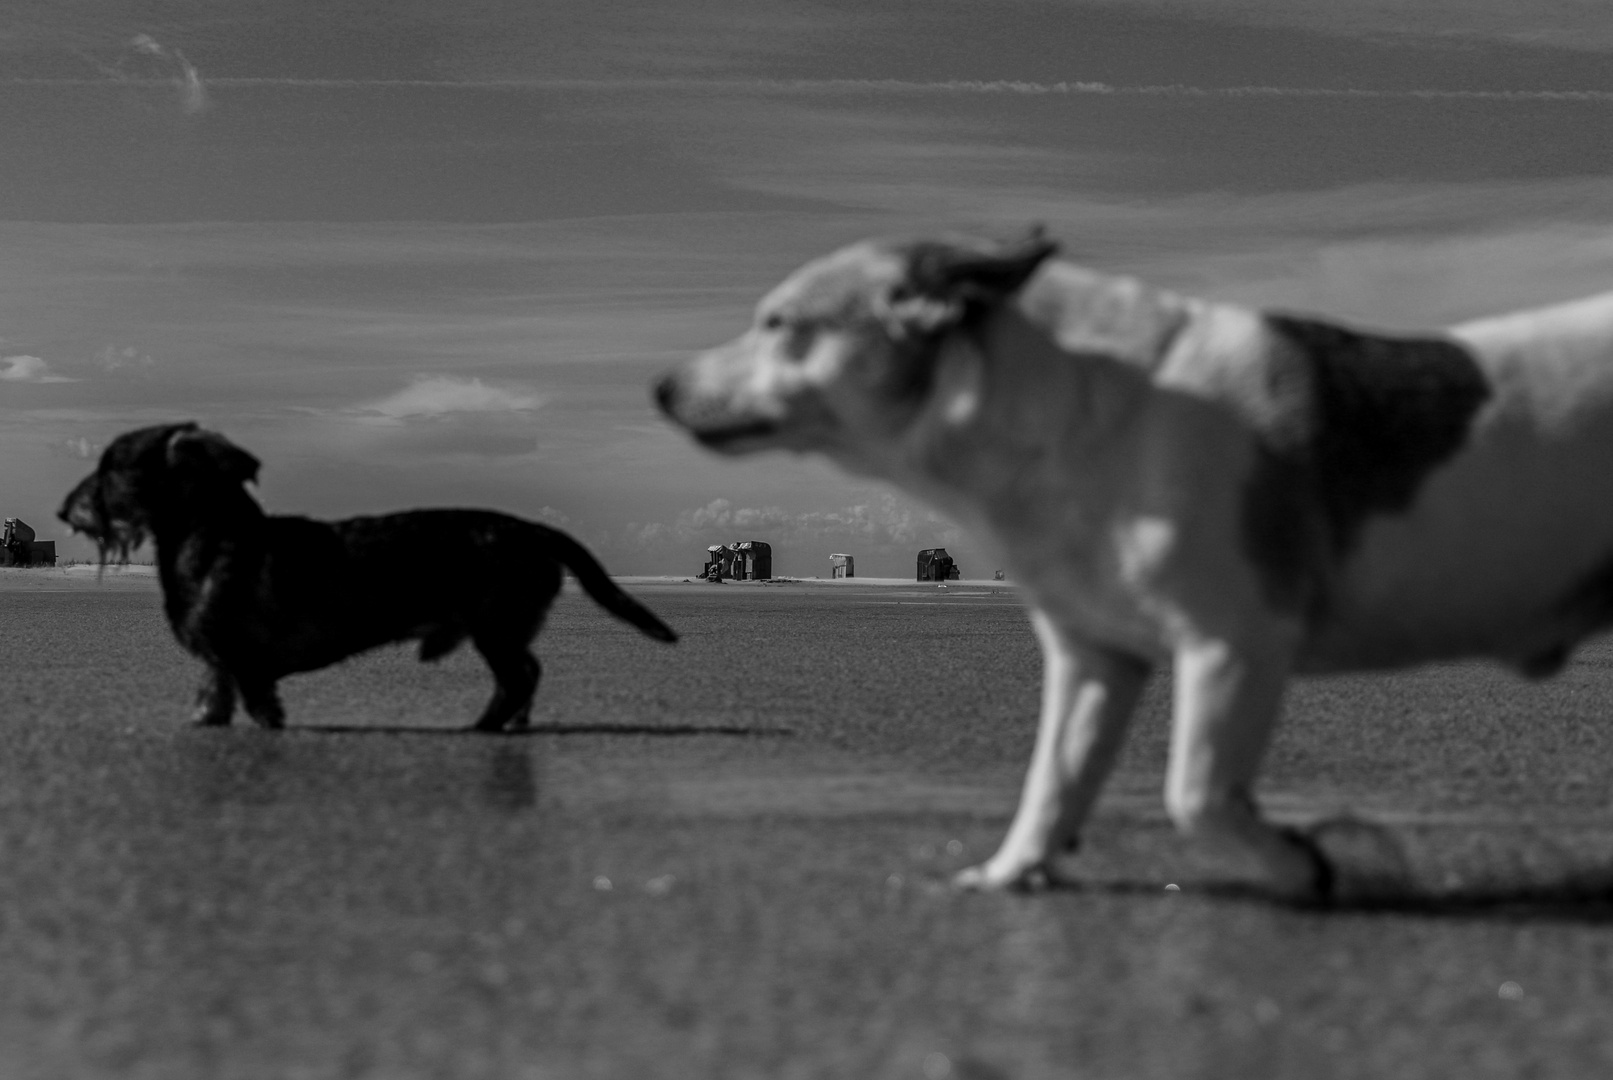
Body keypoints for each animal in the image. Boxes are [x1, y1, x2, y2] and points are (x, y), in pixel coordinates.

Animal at [59, 428, 677, 731]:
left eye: (113, 465)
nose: (65, 510)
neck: (210, 538)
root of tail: (531, 530)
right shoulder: (221, 664)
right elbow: (212, 701)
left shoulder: (248, 664)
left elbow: (261, 707)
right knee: (527, 676)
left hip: (495, 627)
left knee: (519, 678)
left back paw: (481, 727)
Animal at [651, 232, 1613, 902]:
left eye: (779, 325)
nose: (661, 385)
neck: (1078, 411)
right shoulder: (1092, 659)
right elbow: (1053, 779)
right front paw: (1012, 873)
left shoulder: (1230, 645)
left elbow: (1195, 792)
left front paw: (1298, 865)